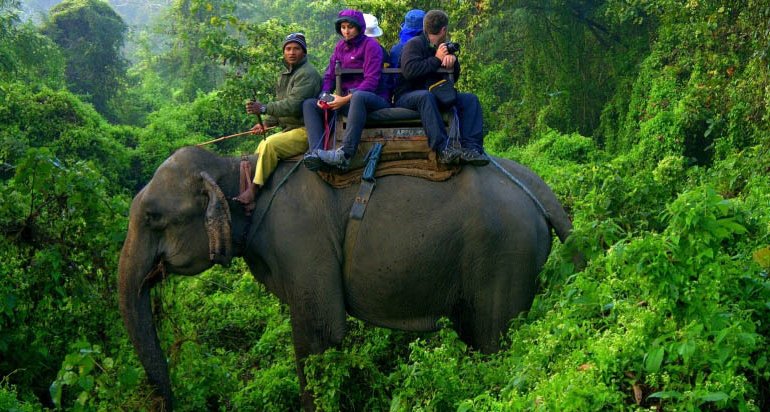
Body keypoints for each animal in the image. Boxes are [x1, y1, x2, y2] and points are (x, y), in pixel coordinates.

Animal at [118, 145, 573, 410]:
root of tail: (539, 188)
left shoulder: (301, 238)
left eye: (153, 217)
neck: (239, 168)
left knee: (495, 341)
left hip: (504, 255)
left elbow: (319, 336)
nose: (168, 400)